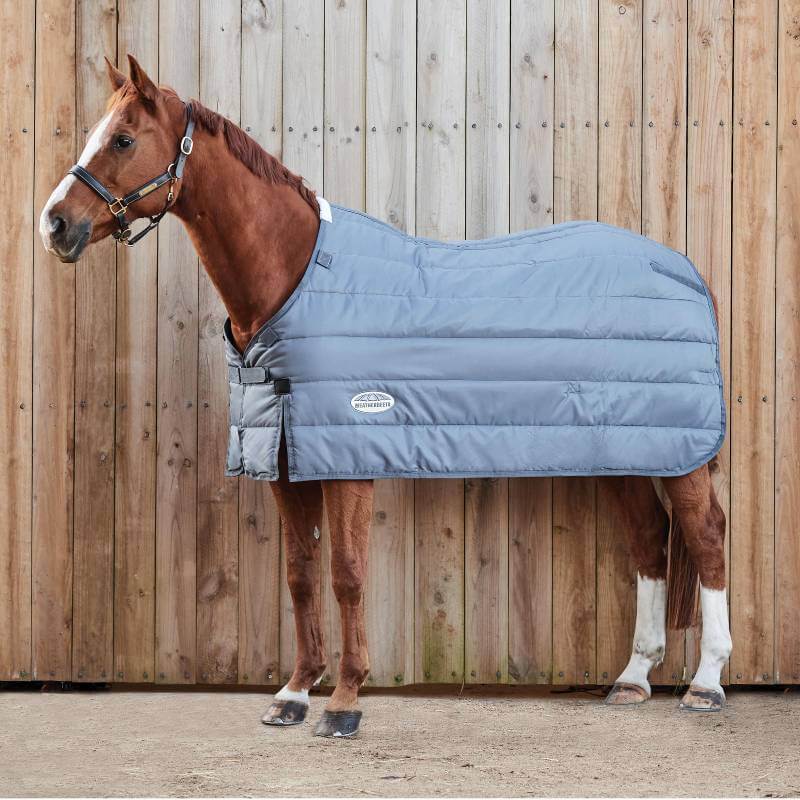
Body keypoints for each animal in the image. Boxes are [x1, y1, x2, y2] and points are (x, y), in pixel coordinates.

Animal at [39, 55, 732, 738]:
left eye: (123, 139)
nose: (55, 224)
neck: (295, 279)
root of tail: (683, 269)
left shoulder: (348, 459)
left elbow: (346, 575)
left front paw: (345, 702)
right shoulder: (285, 461)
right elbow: (301, 575)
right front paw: (294, 694)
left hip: (680, 454)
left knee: (705, 535)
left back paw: (705, 685)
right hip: (630, 451)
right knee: (649, 540)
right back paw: (632, 679)